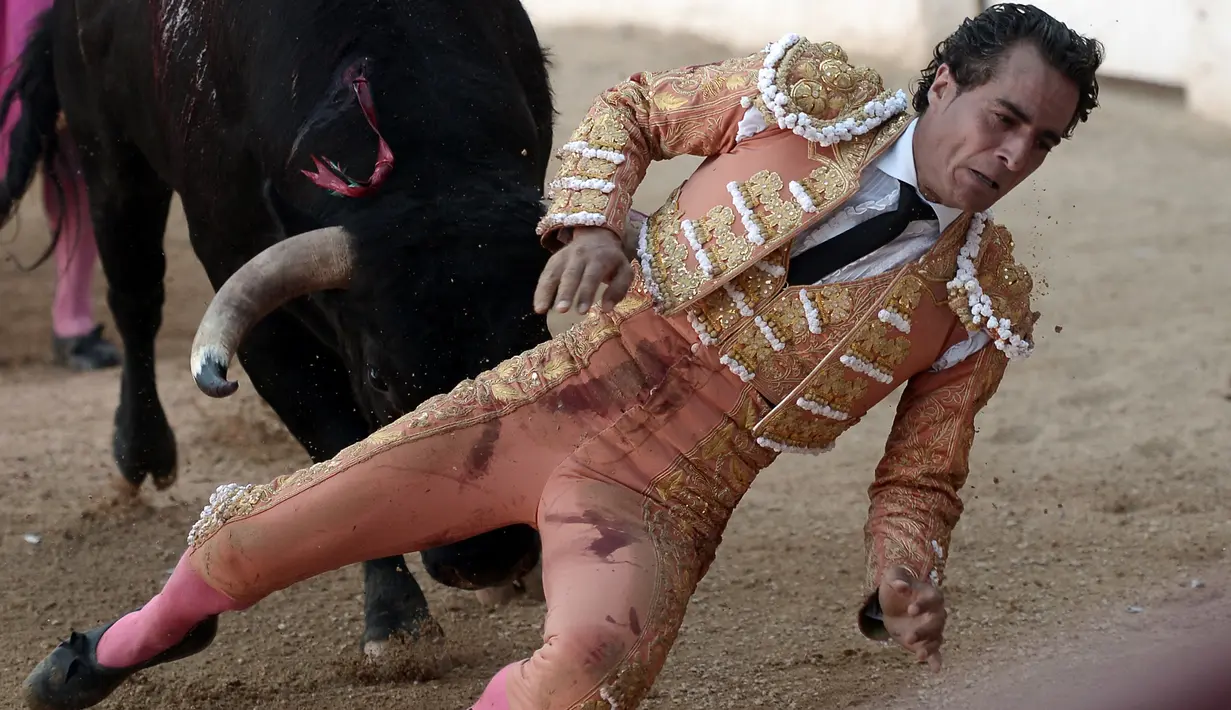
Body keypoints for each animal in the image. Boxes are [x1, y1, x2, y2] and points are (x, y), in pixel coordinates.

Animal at [0, 0, 558, 654]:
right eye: (381, 379)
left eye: (533, 341)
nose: (486, 559)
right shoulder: (262, 319)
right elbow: (336, 447)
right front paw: (396, 620)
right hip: (108, 153)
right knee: (135, 298)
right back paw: (140, 450)